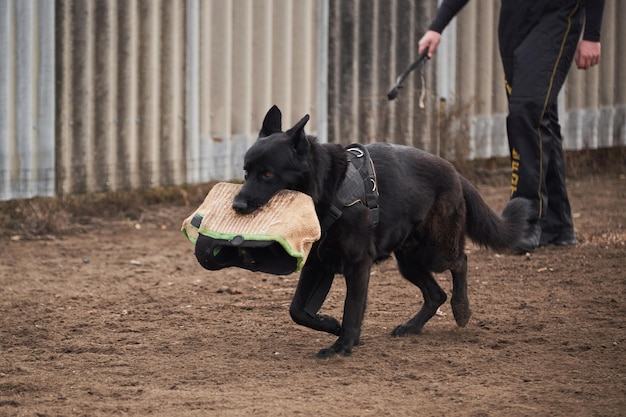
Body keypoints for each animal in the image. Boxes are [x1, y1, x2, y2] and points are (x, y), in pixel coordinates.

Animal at [232, 105, 528, 356]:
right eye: (246, 172)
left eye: (268, 174)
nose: (237, 205)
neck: (328, 190)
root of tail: (455, 171)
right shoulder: (318, 264)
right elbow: (297, 310)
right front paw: (331, 324)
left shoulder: (358, 264)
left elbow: (352, 308)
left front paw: (343, 345)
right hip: (409, 262)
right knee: (436, 294)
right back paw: (412, 327)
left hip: (435, 252)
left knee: (460, 262)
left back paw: (462, 308)